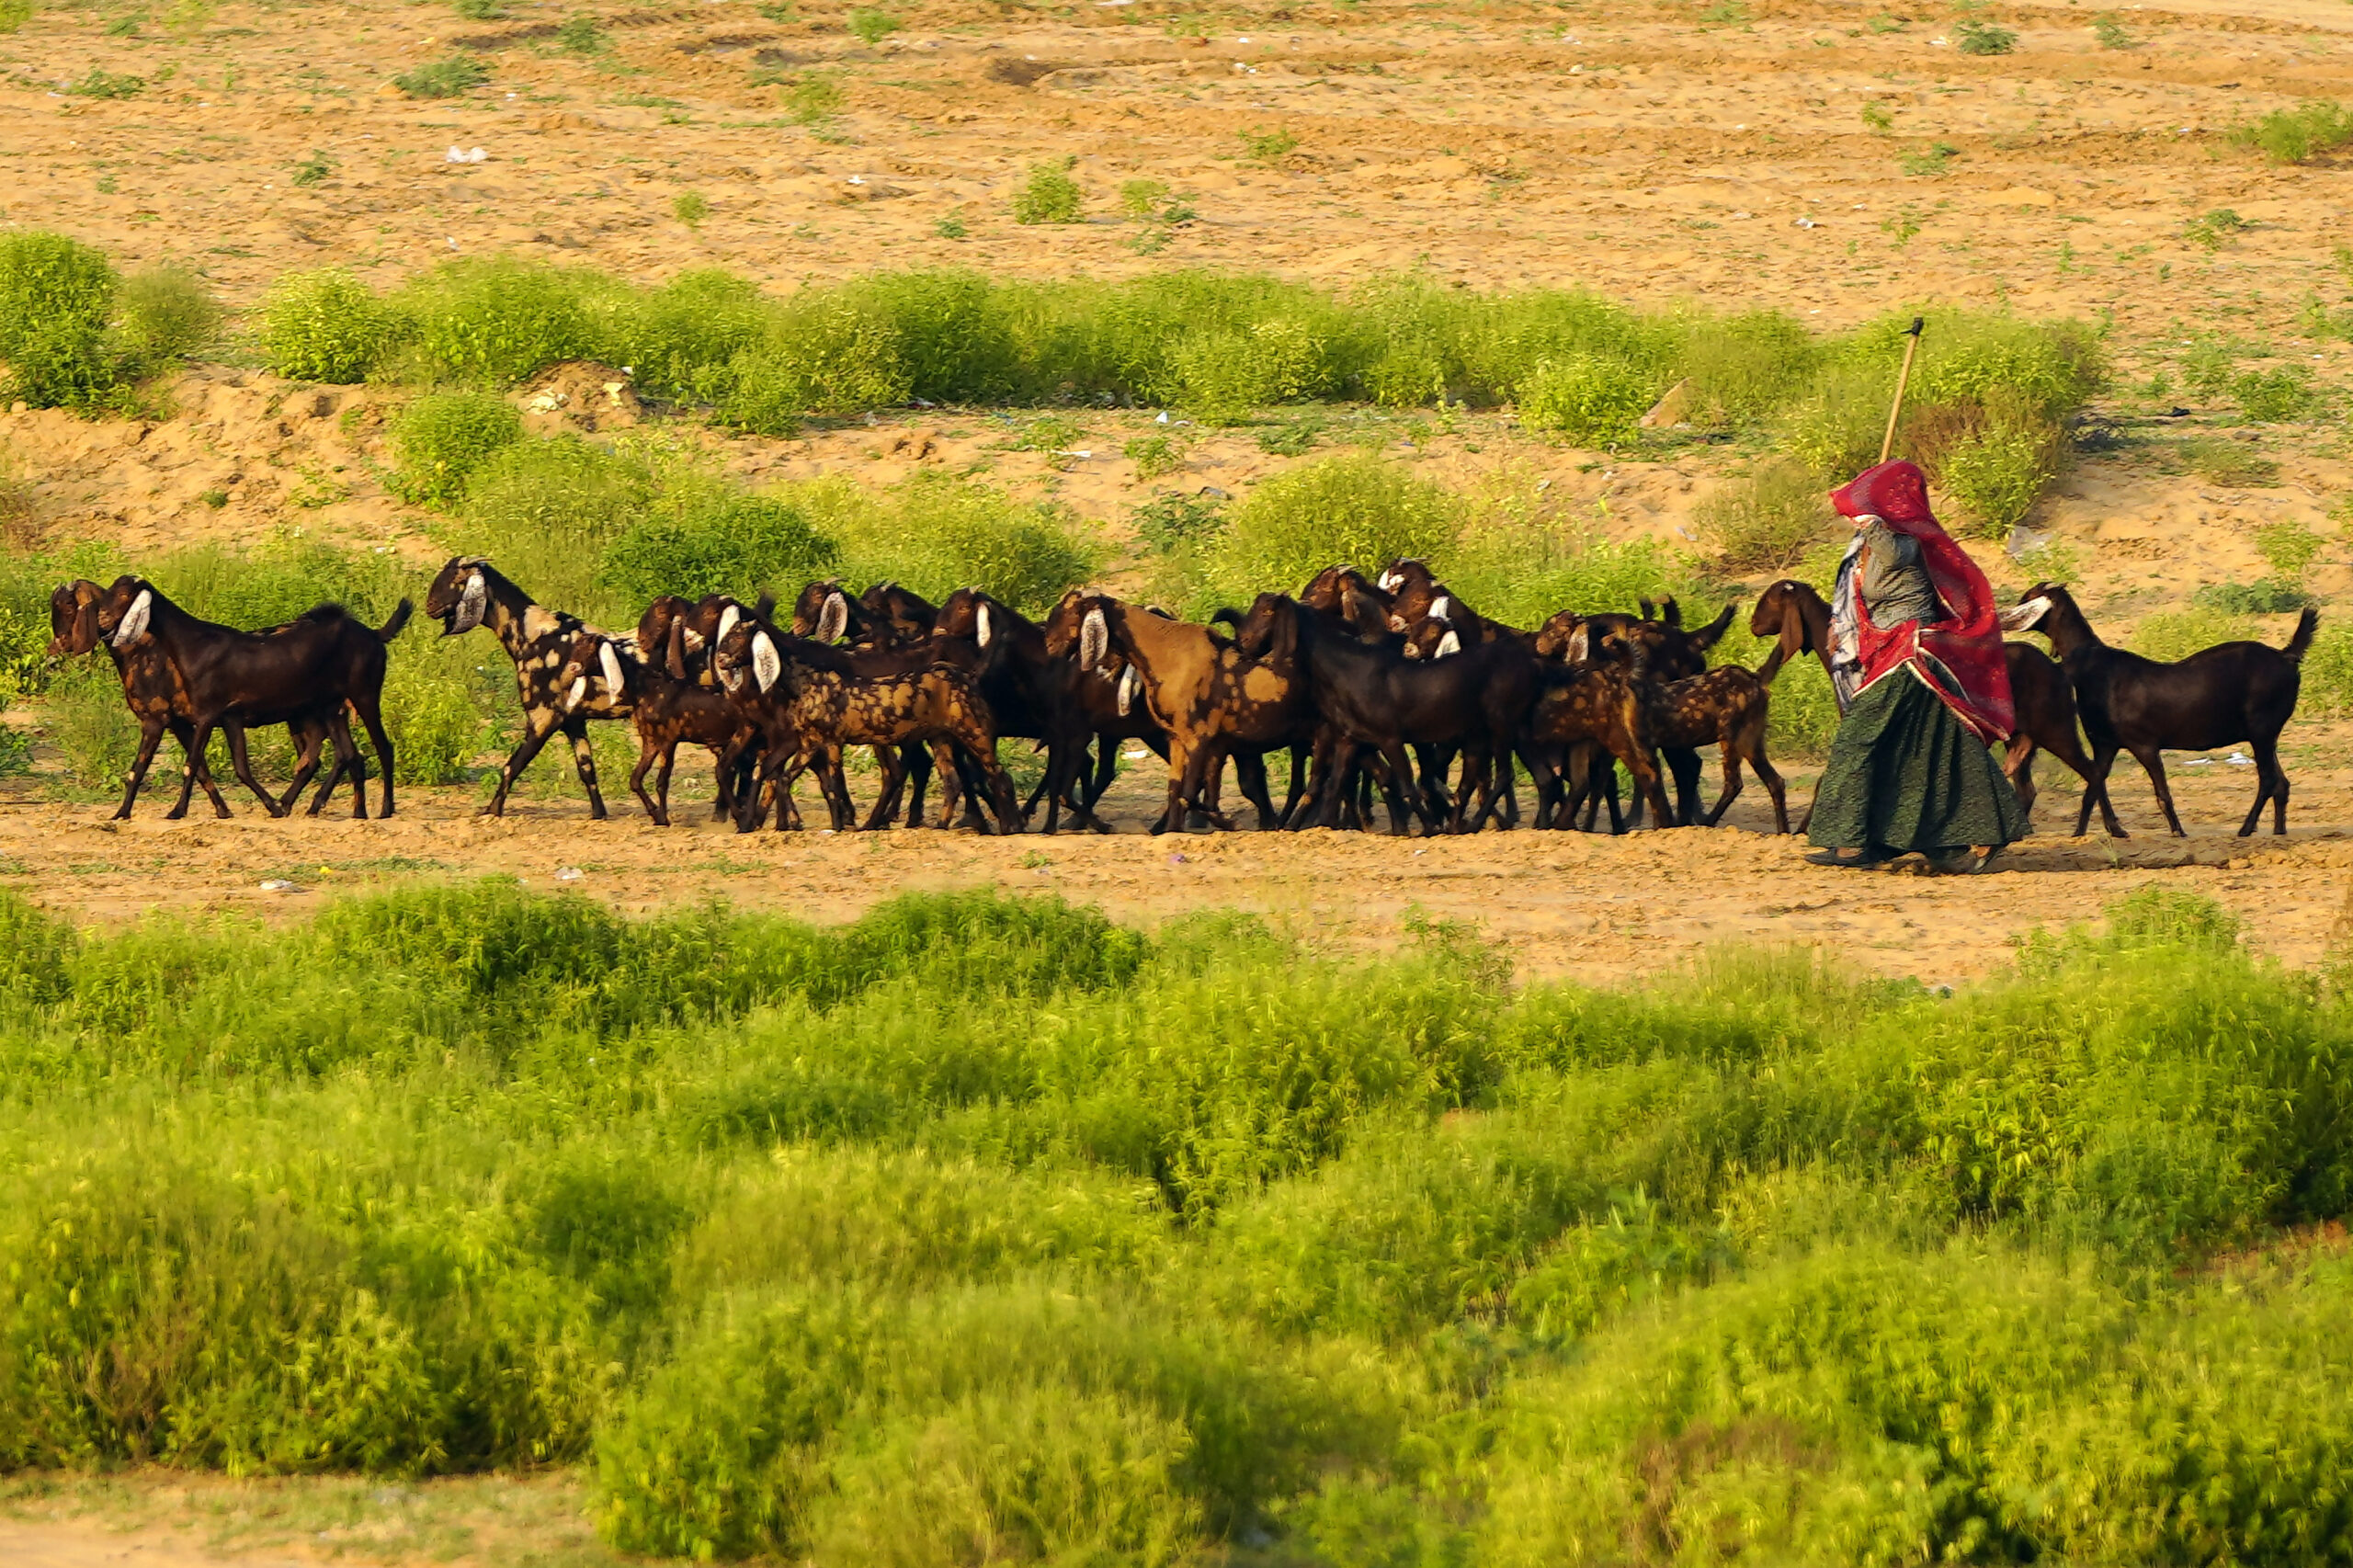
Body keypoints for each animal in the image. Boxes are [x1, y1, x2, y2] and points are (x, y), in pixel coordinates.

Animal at [425, 556, 632, 818]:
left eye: (457, 579)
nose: (429, 606)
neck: (532, 632)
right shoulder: (573, 721)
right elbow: (586, 769)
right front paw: (599, 815)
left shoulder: (542, 718)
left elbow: (511, 766)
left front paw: (492, 812)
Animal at [1752, 578, 2117, 835]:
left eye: (1769, 599)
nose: (1753, 624)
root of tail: (2057, 671)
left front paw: (1803, 829)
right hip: (2019, 738)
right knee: (2028, 788)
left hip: (2057, 729)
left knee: (2092, 771)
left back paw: (2106, 829)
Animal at [2010, 582, 2315, 837]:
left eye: (2027, 598)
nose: (2007, 616)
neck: (2094, 665)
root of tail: (2287, 655)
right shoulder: (2105, 744)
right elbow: (2092, 788)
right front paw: (2083, 833)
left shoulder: (2144, 744)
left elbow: (2161, 792)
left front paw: (2178, 831)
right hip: (2267, 733)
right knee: (2282, 783)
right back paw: (2278, 831)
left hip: (2261, 728)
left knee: (2268, 779)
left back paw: (2246, 828)